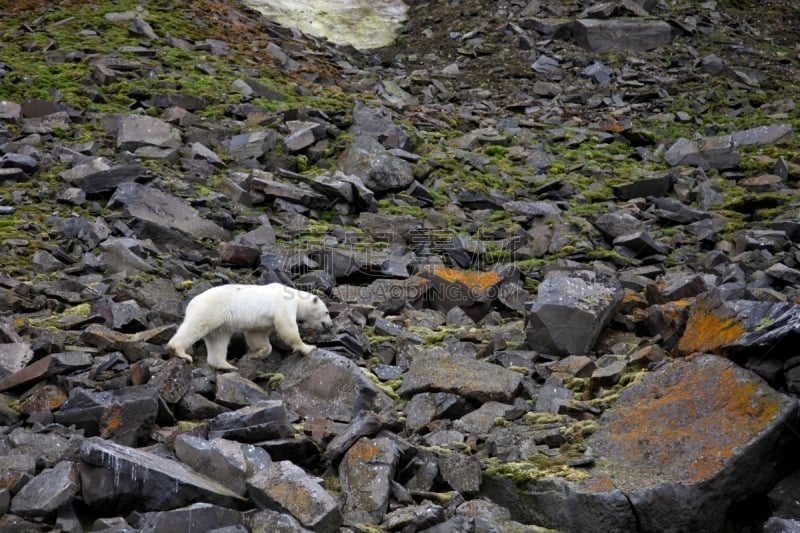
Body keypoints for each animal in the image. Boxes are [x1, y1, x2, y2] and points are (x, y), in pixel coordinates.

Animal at [167, 282, 332, 370]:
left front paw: (258, 353)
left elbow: (257, 334)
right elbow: (287, 326)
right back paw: (180, 351)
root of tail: (192, 302)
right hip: (209, 310)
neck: (295, 297)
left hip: (220, 324)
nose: (330, 325)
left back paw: (227, 365)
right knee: (195, 327)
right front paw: (308, 347)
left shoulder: (263, 322)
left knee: (218, 340)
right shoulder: (283, 305)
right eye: (327, 312)